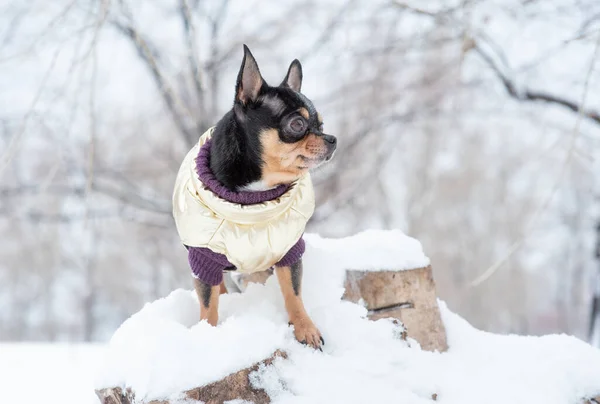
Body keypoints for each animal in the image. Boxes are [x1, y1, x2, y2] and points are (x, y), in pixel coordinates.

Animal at [172, 43, 338, 348]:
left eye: (321, 125)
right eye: (297, 125)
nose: (332, 139)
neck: (255, 198)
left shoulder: (288, 251)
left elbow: (294, 293)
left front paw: (305, 328)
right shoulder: (204, 259)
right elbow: (208, 303)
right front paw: (207, 334)